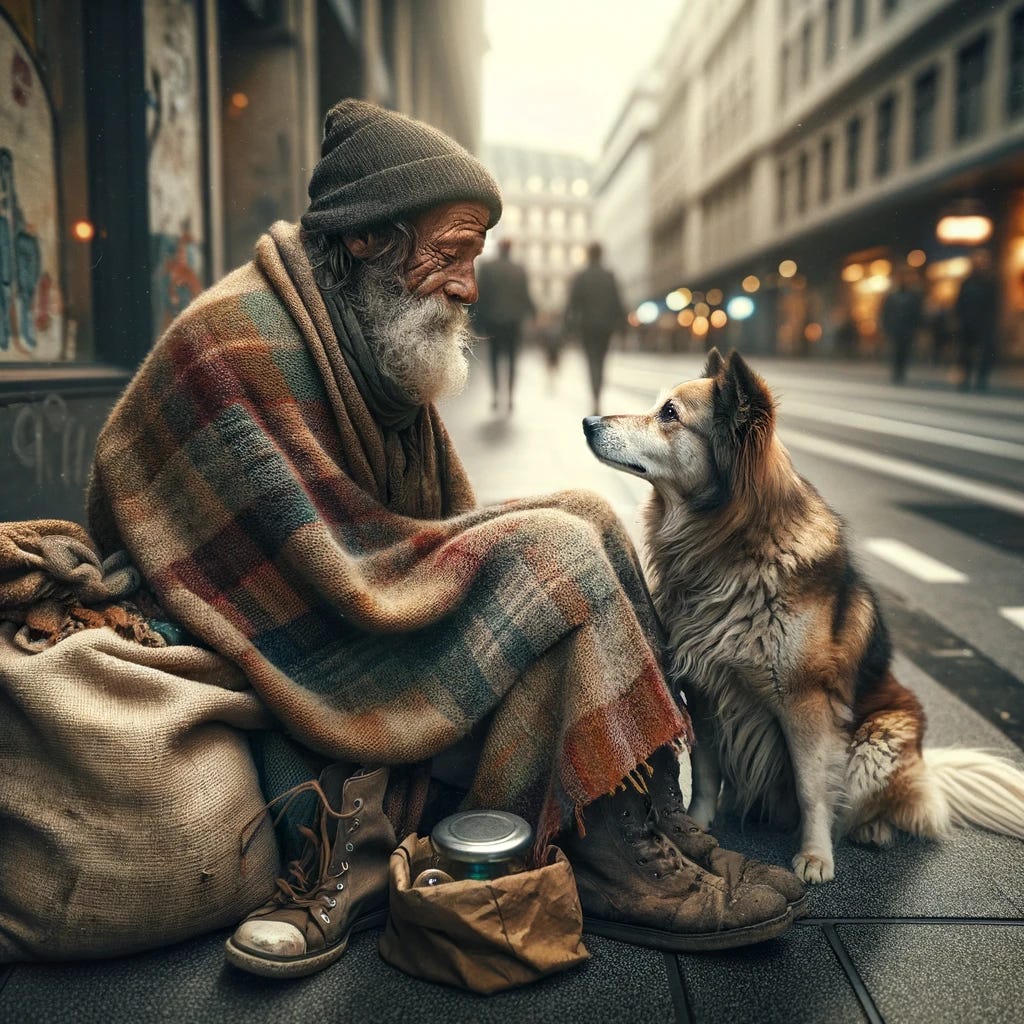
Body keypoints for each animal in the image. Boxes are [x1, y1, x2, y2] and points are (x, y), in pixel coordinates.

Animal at [585, 350, 1024, 880]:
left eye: (669, 413)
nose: (587, 422)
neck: (730, 546)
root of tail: (926, 764)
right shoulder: (706, 690)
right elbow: (707, 772)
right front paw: (699, 823)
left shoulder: (805, 703)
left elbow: (812, 786)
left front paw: (814, 856)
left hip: (877, 742)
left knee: (894, 805)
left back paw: (872, 829)